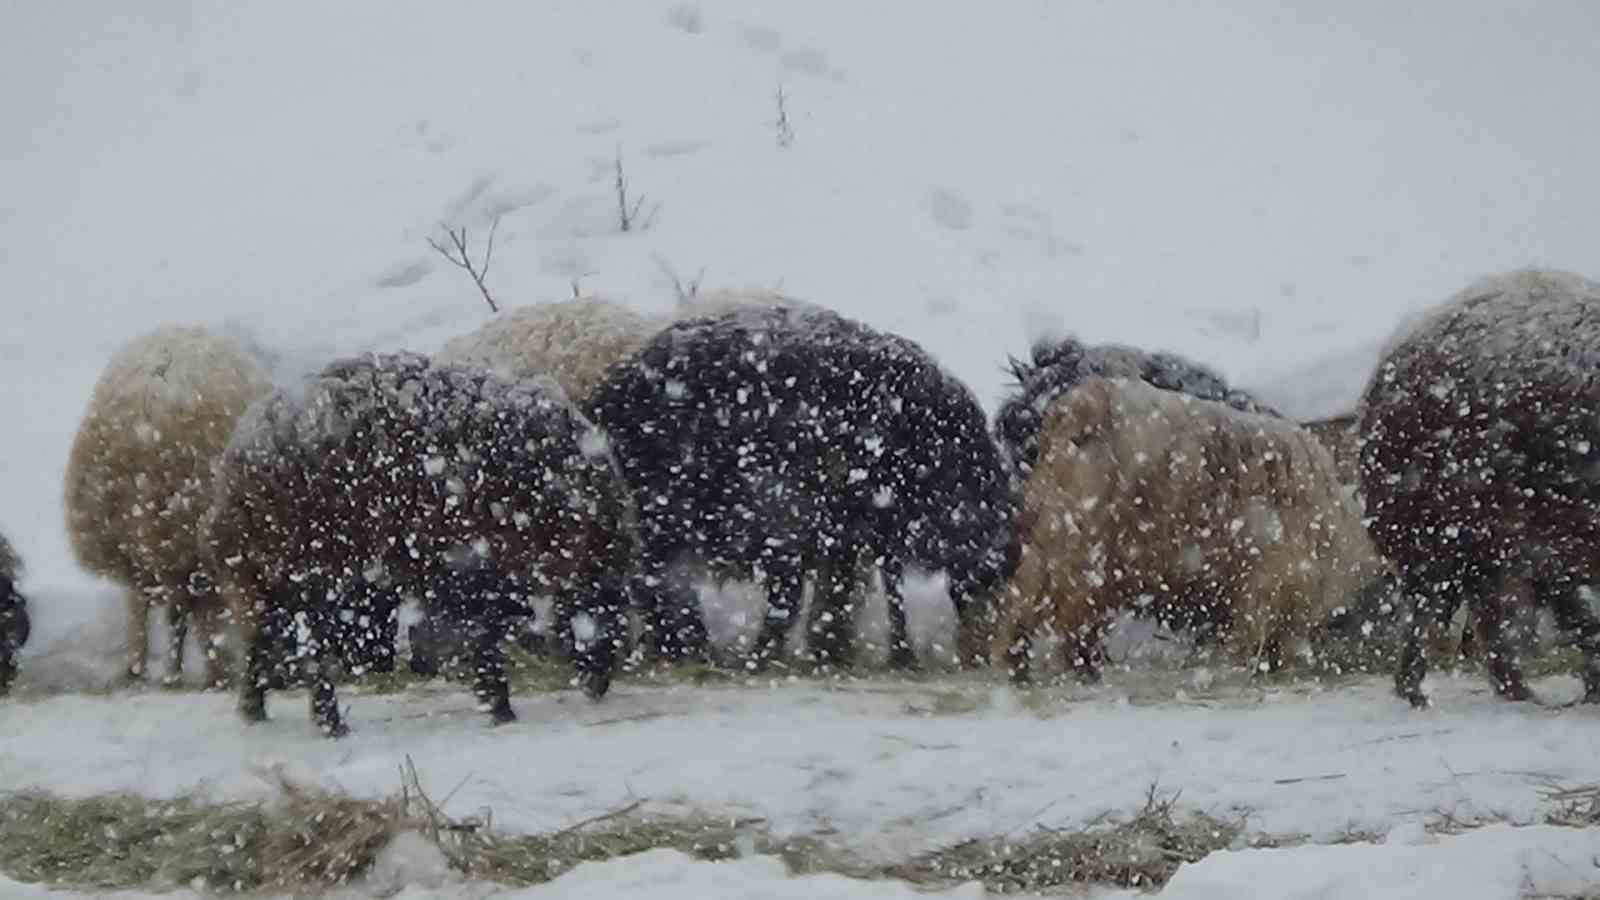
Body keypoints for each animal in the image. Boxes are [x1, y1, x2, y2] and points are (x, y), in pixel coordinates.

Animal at [63, 325, 272, 682]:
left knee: (144, 601)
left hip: (135, 528)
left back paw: (143, 665)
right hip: (183, 527)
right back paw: (208, 668)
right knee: (186, 604)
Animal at [196, 352, 627, 736]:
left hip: (267, 574)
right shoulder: (476, 566)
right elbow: (485, 639)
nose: (600, 685)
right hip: (314, 567)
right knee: (312, 649)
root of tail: (241, 460)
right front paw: (499, 706)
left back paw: (255, 710)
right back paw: (330, 722)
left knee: (260, 635)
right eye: (608, 595)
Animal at [588, 301, 1011, 666]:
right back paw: (689, 647)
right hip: (666, 509)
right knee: (656, 580)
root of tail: (607, 394)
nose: (1000, 564)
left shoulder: (848, 527)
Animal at [998, 373, 1388, 679]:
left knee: (1020, 610)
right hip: (1093, 556)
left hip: (1052, 537)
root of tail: (1084, 404)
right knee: (1068, 627)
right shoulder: (1268, 592)